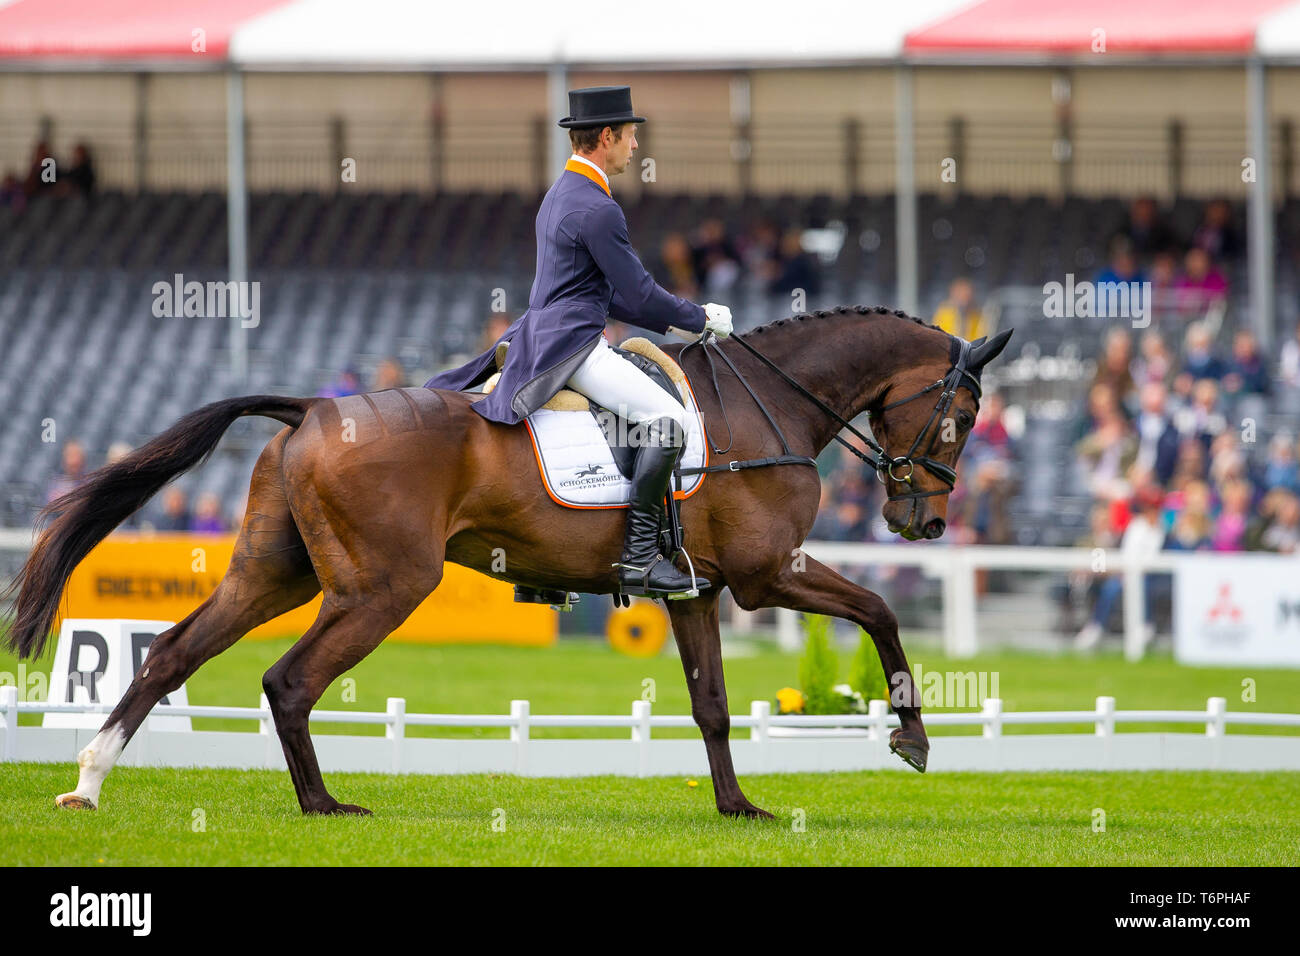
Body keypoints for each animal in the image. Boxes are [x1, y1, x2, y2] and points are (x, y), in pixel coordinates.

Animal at [3, 304, 1013, 818]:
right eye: (961, 416)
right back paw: (323, 806)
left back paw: (89, 780)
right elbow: (880, 610)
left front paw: (737, 810)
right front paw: (913, 737)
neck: (768, 407)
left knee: (173, 652)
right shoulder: (769, 577)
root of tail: (315, 408)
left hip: (274, 574)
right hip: (383, 586)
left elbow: (714, 706)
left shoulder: (699, 591)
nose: (924, 521)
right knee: (289, 680)